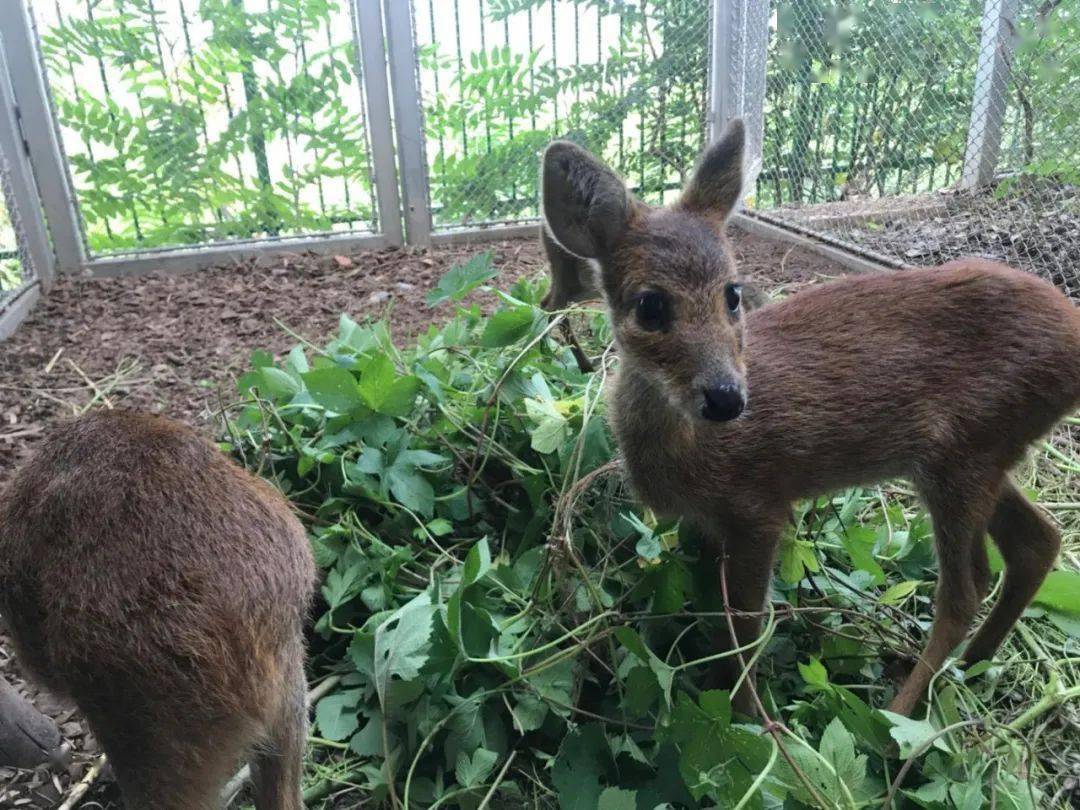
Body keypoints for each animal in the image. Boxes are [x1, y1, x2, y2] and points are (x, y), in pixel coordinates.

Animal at [540, 120, 1080, 717]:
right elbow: (710, 610)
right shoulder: (704, 523)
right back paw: (976, 663)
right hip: (985, 449)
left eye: (732, 293)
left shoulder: (758, 505)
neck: (691, 452)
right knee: (1039, 541)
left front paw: (745, 714)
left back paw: (897, 718)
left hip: (961, 453)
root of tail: (1073, 338)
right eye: (650, 305)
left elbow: (743, 622)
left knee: (966, 590)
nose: (727, 398)